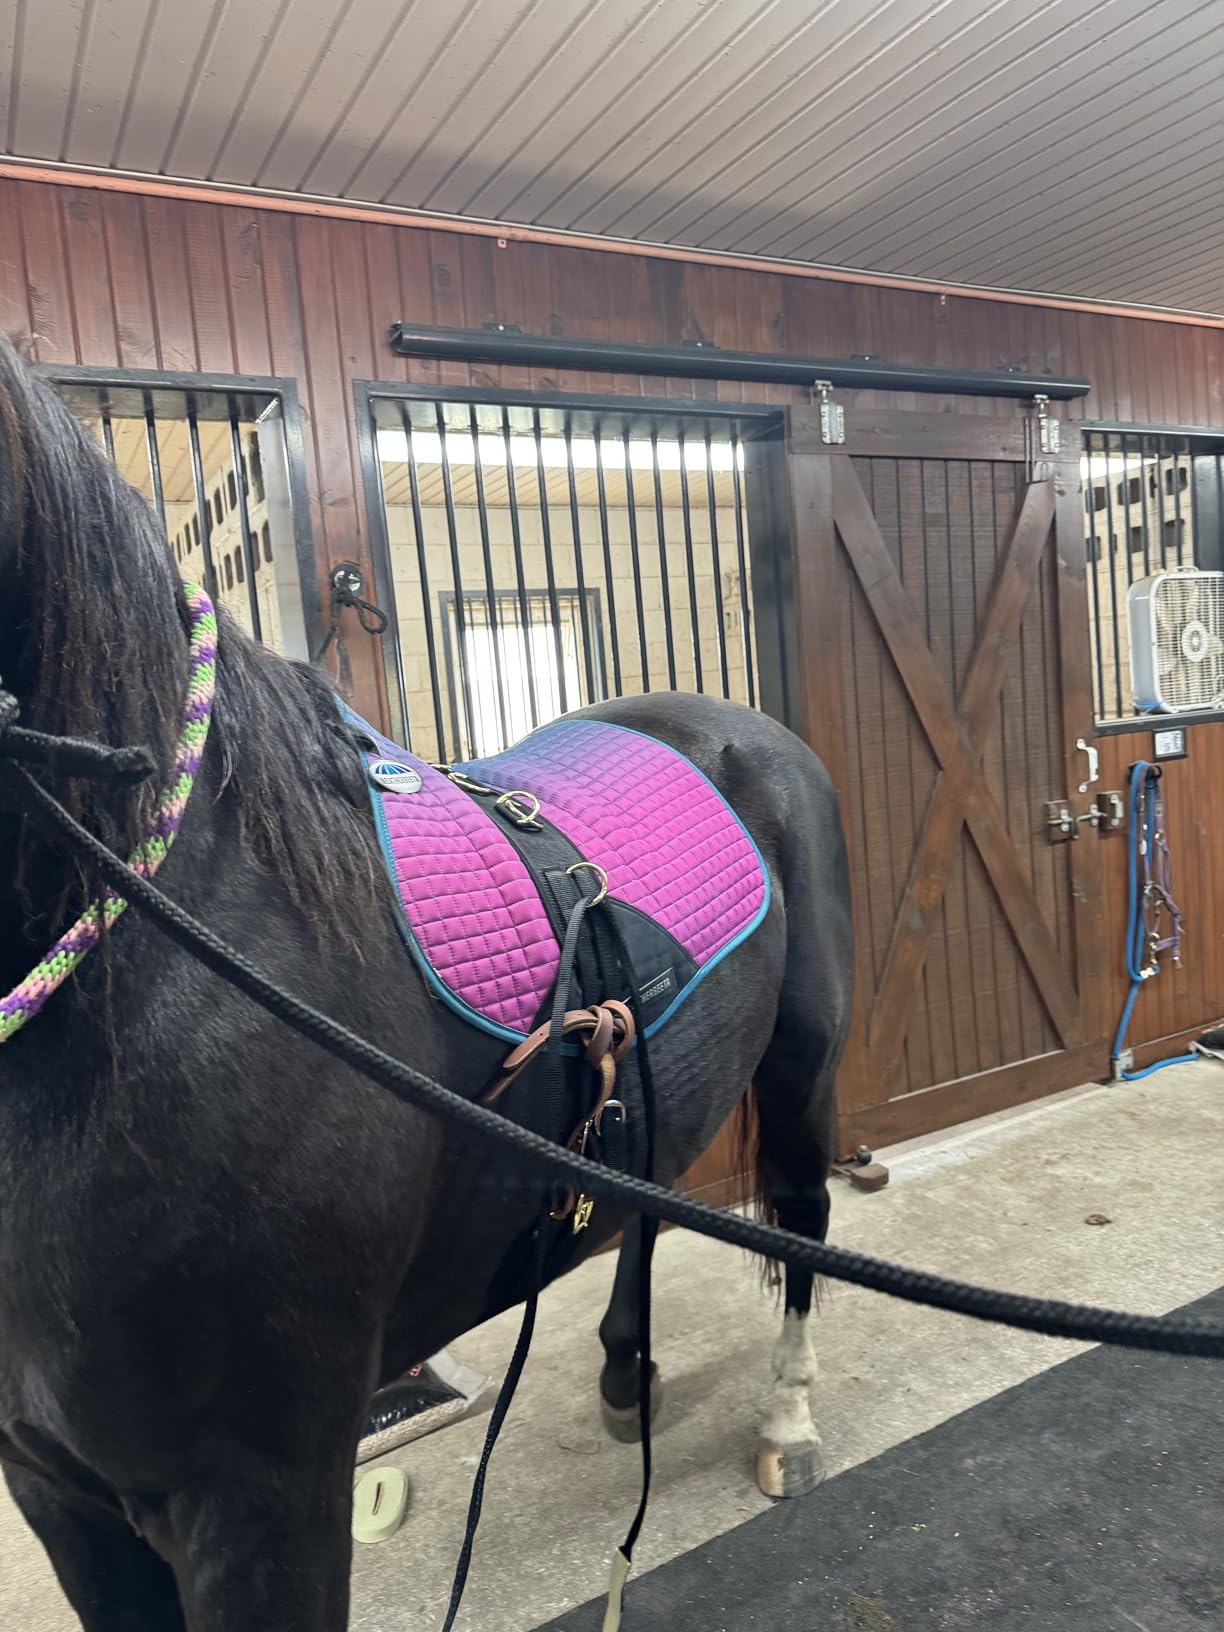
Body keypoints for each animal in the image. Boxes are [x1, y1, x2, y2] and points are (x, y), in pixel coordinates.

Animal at [0, 337, 853, 1631]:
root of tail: (731, 726)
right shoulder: (60, 1492)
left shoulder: (260, 1495)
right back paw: (625, 1369)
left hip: (803, 1061)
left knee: (801, 1215)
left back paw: (788, 1423)